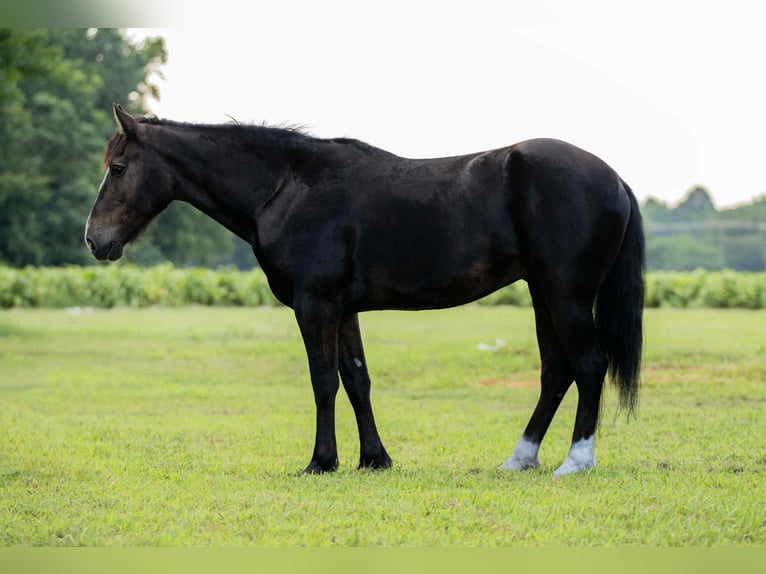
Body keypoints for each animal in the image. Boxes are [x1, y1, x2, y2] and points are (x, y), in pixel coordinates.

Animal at [85, 104, 644, 476]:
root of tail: (615, 179)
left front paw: (321, 462)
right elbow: (357, 381)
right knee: (556, 372)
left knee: (588, 365)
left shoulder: (316, 306)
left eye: (118, 168)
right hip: (542, 294)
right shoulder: (344, 310)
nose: (94, 239)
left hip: (567, 296)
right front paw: (374, 459)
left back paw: (576, 461)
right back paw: (520, 458)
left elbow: (323, 382)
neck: (287, 187)